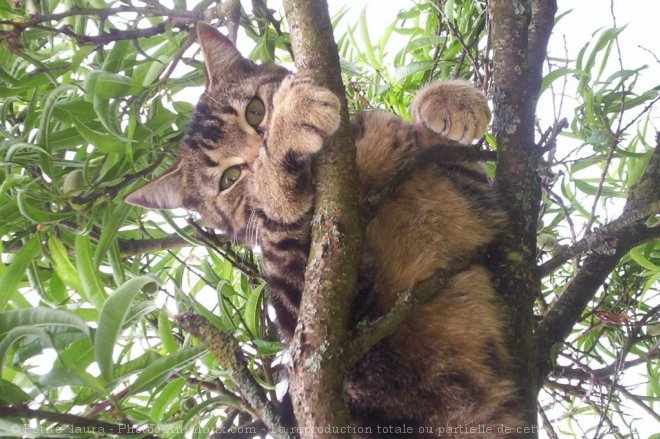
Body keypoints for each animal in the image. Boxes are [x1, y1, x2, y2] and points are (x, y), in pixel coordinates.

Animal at [126, 23, 524, 439]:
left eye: (255, 110)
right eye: (230, 178)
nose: (258, 148)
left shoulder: (471, 194)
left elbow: (427, 139)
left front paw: (448, 101)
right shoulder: (310, 308)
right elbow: (280, 223)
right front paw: (287, 135)